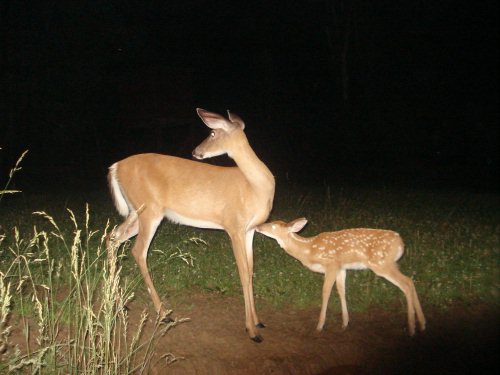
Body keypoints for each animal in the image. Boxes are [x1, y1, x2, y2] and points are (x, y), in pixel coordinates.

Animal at [107, 108, 276, 344]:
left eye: (212, 133)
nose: (196, 151)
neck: (255, 187)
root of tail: (116, 167)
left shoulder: (250, 230)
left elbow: (251, 271)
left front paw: (258, 321)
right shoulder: (233, 226)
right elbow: (243, 272)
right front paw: (252, 331)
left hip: (136, 212)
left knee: (113, 237)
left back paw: (118, 302)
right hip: (149, 210)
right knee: (137, 251)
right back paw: (163, 313)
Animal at [258, 219, 426, 336]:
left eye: (273, 226)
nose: (258, 227)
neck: (308, 249)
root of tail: (401, 243)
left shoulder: (331, 264)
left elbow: (326, 292)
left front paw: (319, 326)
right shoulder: (341, 268)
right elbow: (341, 291)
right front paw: (345, 323)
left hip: (381, 264)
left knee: (406, 283)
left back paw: (412, 328)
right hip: (389, 264)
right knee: (410, 281)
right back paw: (422, 324)